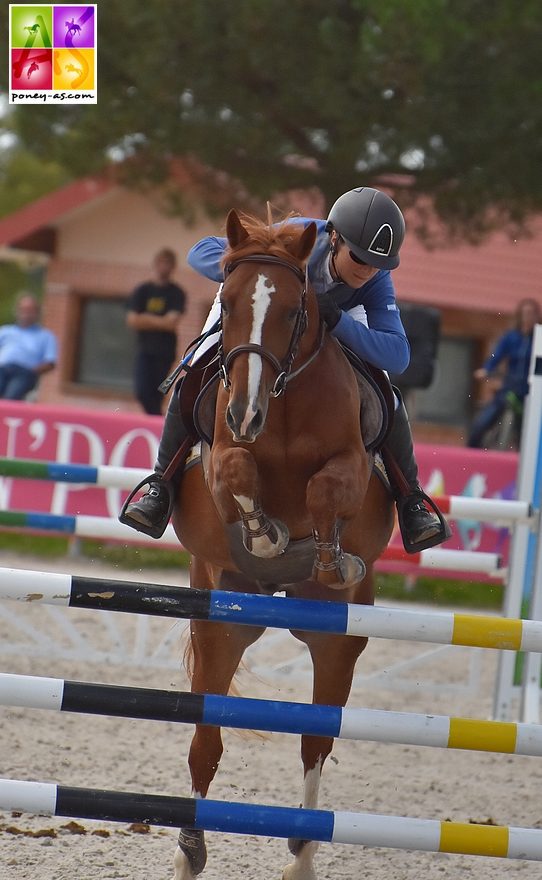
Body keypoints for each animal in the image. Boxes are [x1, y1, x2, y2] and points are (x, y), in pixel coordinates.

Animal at [172, 208, 394, 880]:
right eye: (228, 301)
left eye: (296, 312)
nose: (246, 414)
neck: (284, 406)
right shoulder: (223, 461)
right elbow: (237, 474)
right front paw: (265, 533)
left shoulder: (349, 466)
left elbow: (327, 488)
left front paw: (324, 551)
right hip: (220, 621)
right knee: (206, 739)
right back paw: (190, 849)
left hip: (334, 637)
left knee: (316, 739)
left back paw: (301, 855)